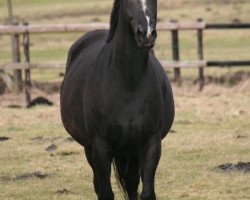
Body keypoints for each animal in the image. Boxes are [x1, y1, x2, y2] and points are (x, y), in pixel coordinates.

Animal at [60, 0, 174, 199]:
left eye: (156, 1)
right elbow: (105, 192)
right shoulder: (100, 147)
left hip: (131, 150)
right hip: (90, 149)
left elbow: (146, 192)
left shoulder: (151, 144)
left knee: (131, 182)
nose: (146, 34)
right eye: (128, 1)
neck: (128, 83)